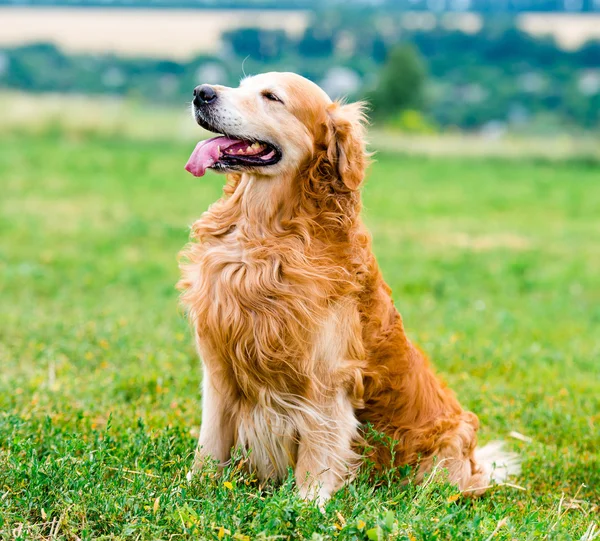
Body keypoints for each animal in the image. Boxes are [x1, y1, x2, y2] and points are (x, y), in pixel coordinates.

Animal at [177, 70, 516, 502]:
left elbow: (318, 450)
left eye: (271, 96)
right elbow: (211, 440)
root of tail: (478, 466)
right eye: (241, 84)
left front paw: (306, 504)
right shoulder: (218, 365)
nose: (201, 92)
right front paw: (194, 486)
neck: (265, 237)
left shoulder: (328, 378)